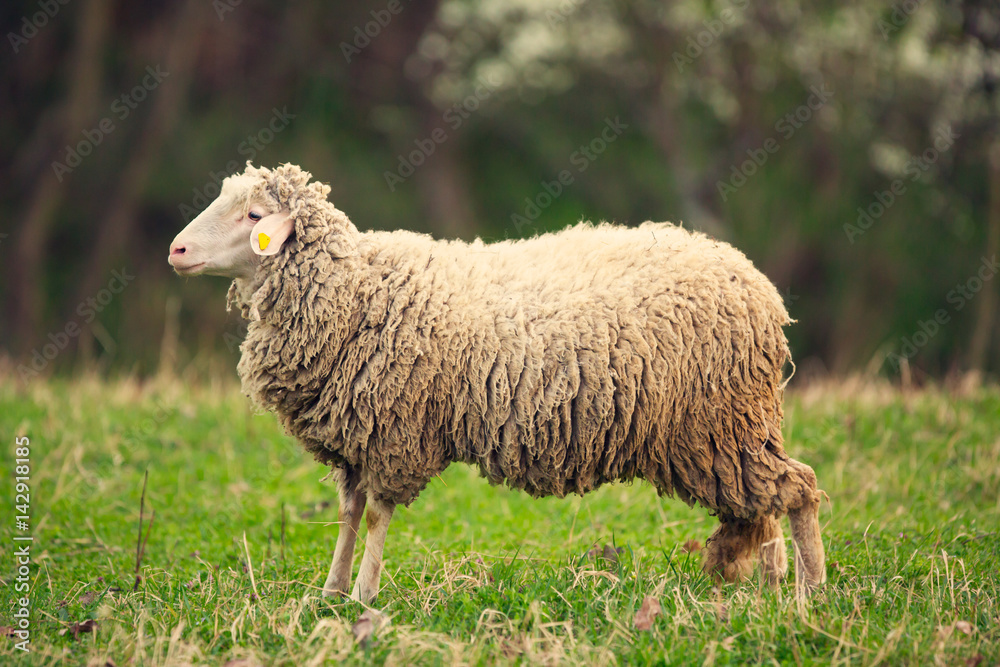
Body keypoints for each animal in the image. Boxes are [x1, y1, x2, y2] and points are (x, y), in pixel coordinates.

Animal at [168, 162, 826, 603]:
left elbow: (376, 517)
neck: (356, 290)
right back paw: (766, 592)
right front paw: (329, 594)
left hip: (720, 423)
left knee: (798, 490)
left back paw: (807, 596)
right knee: (764, 506)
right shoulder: (358, 441)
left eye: (254, 216)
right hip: (725, 434)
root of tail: (757, 285)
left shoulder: (396, 433)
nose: (176, 250)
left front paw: (363, 599)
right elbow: (349, 515)